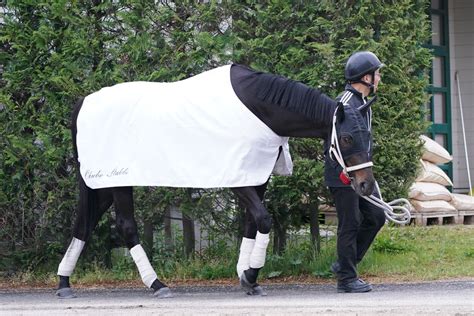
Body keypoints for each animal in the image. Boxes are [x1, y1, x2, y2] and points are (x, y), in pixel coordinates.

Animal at [55, 63, 376, 298]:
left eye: (368, 135)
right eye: (347, 138)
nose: (366, 186)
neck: (259, 109)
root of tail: (83, 102)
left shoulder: (256, 175)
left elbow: (251, 223)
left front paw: (246, 277)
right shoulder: (239, 181)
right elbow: (263, 220)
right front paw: (250, 275)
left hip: (101, 185)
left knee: (84, 223)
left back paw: (64, 283)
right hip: (118, 182)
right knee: (125, 226)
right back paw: (157, 285)